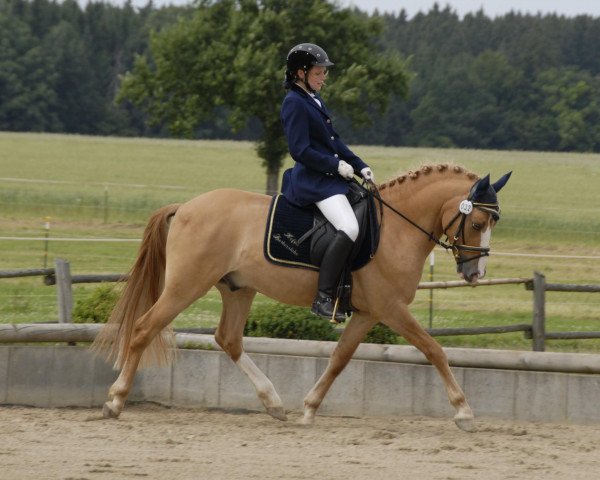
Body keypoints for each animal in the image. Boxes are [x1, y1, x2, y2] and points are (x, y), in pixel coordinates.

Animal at [92, 163, 510, 434]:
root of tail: (186, 207)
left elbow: (340, 359)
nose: (475, 274)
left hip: (237, 288)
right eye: (476, 223)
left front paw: (308, 409)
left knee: (229, 339)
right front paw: (464, 411)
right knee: (144, 328)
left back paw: (273, 402)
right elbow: (434, 350)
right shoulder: (391, 309)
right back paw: (115, 401)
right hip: (187, 284)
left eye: (493, 223)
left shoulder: (368, 313)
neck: (396, 227)